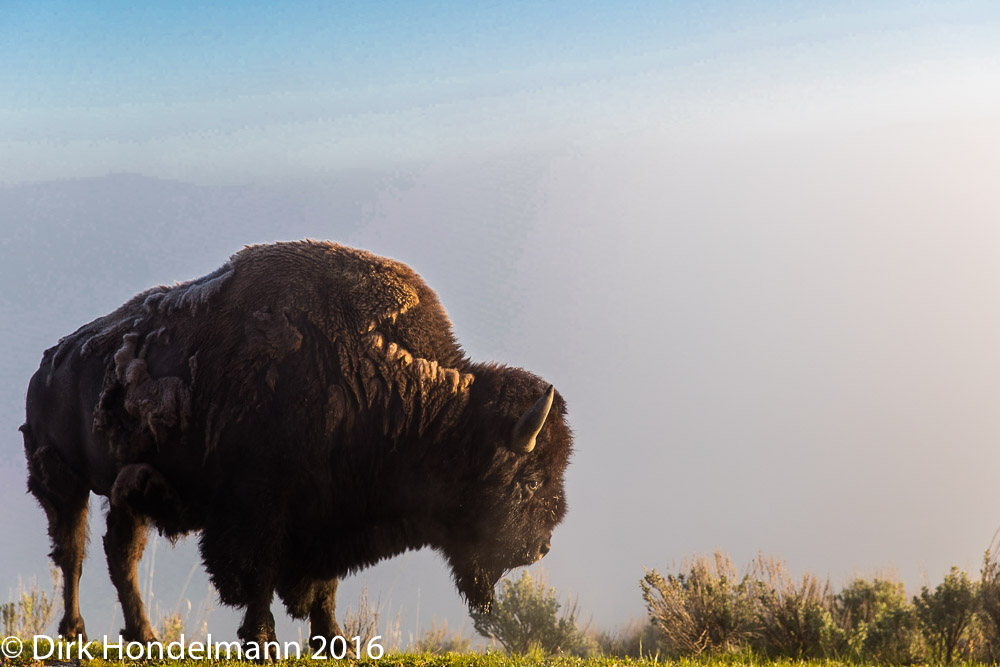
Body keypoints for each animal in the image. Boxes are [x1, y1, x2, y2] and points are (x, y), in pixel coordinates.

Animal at [23, 240, 572, 648]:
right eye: (527, 480)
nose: (541, 548)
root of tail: (49, 363)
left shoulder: (327, 516)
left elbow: (323, 586)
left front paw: (334, 642)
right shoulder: (259, 511)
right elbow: (257, 577)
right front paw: (262, 641)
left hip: (128, 490)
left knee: (120, 555)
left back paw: (146, 638)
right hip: (61, 484)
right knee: (72, 553)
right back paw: (75, 633)